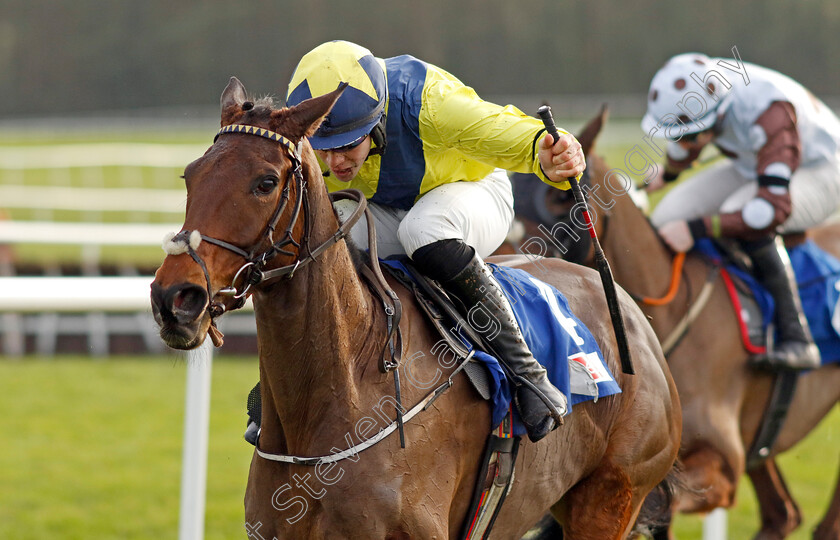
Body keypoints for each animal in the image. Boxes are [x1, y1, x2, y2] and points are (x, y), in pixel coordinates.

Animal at [151, 78, 684, 536]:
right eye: (190, 175)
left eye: (265, 182)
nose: (174, 299)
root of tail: (635, 322)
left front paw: (557, 153)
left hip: (611, 496)